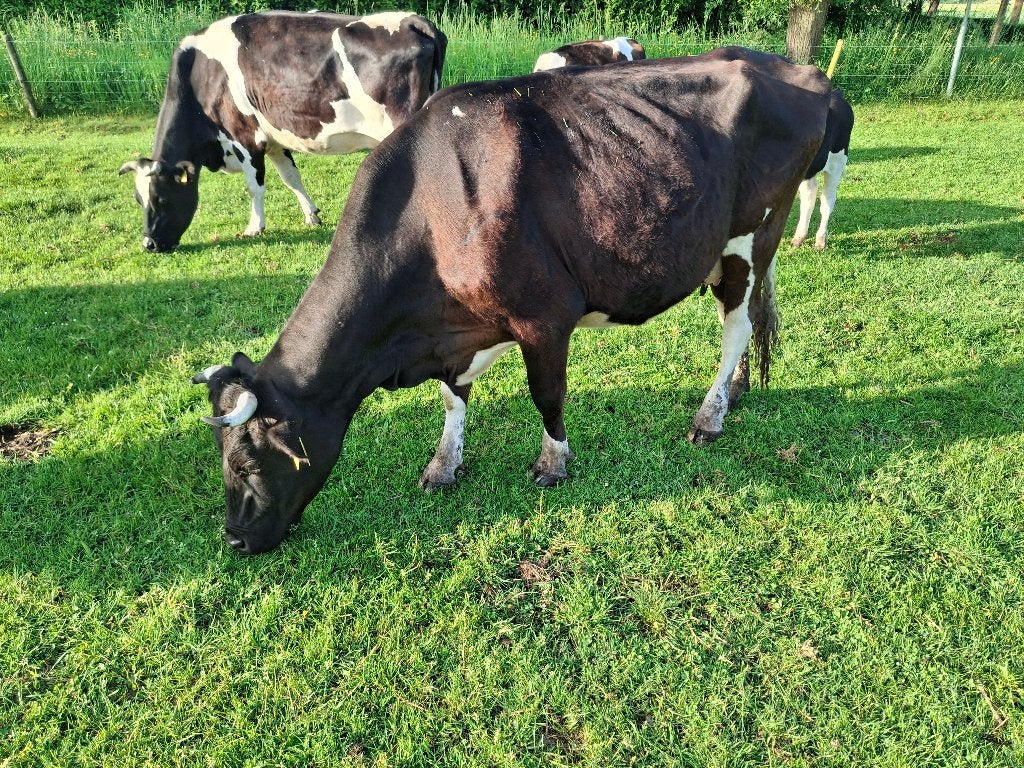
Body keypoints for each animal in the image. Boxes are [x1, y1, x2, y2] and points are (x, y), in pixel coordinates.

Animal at [119, 10, 446, 253]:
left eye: (162, 198)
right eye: (138, 199)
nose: (149, 244)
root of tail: (414, 20)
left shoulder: (245, 136)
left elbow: (255, 186)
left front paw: (254, 228)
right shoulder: (274, 139)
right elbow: (291, 178)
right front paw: (311, 216)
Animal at [193, 47, 832, 554]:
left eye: (247, 463)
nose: (234, 539)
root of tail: (794, 68)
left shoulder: (543, 317)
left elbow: (546, 395)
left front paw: (553, 462)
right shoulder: (456, 333)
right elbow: (452, 399)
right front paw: (444, 463)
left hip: (750, 236)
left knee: (735, 326)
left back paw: (710, 415)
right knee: (749, 320)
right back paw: (737, 391)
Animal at [790, 88, 854, 249]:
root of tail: (836, 94)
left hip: (837, 161)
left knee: (827, 199)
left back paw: (820, 240)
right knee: (809, 197)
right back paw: (799, 237)